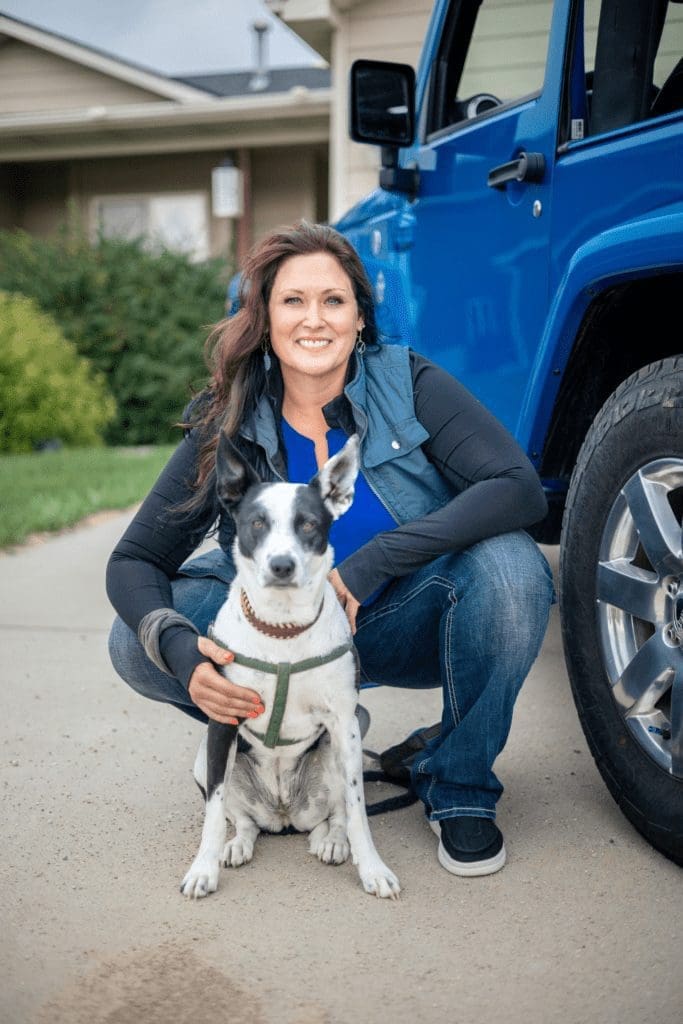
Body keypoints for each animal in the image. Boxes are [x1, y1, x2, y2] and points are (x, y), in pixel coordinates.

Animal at [181, 432, 401, 897]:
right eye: (256, 523)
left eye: (309, 524)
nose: (281, 565)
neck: (281, 630)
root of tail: (283, 816)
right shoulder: (221, 720)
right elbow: (214, 813)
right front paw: (203, 869)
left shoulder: (344, 724)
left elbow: (358, 813)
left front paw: (373, 868)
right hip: (205, 760)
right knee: (242, 819)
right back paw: (237, 844)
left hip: (341, 748)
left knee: (335, 815)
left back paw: (333, 841)